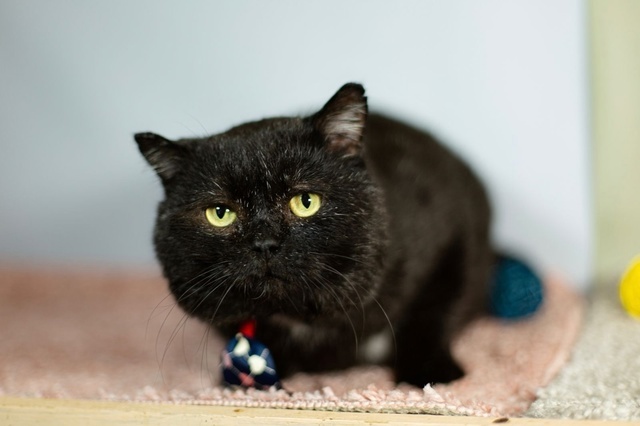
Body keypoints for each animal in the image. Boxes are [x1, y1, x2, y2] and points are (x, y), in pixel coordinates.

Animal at [135, 83, 493, 386]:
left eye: (305, 201)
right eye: (220, 213)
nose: (264, 243)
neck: (302, 319)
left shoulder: (455, 237)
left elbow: (433, 313)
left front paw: (431, 373)